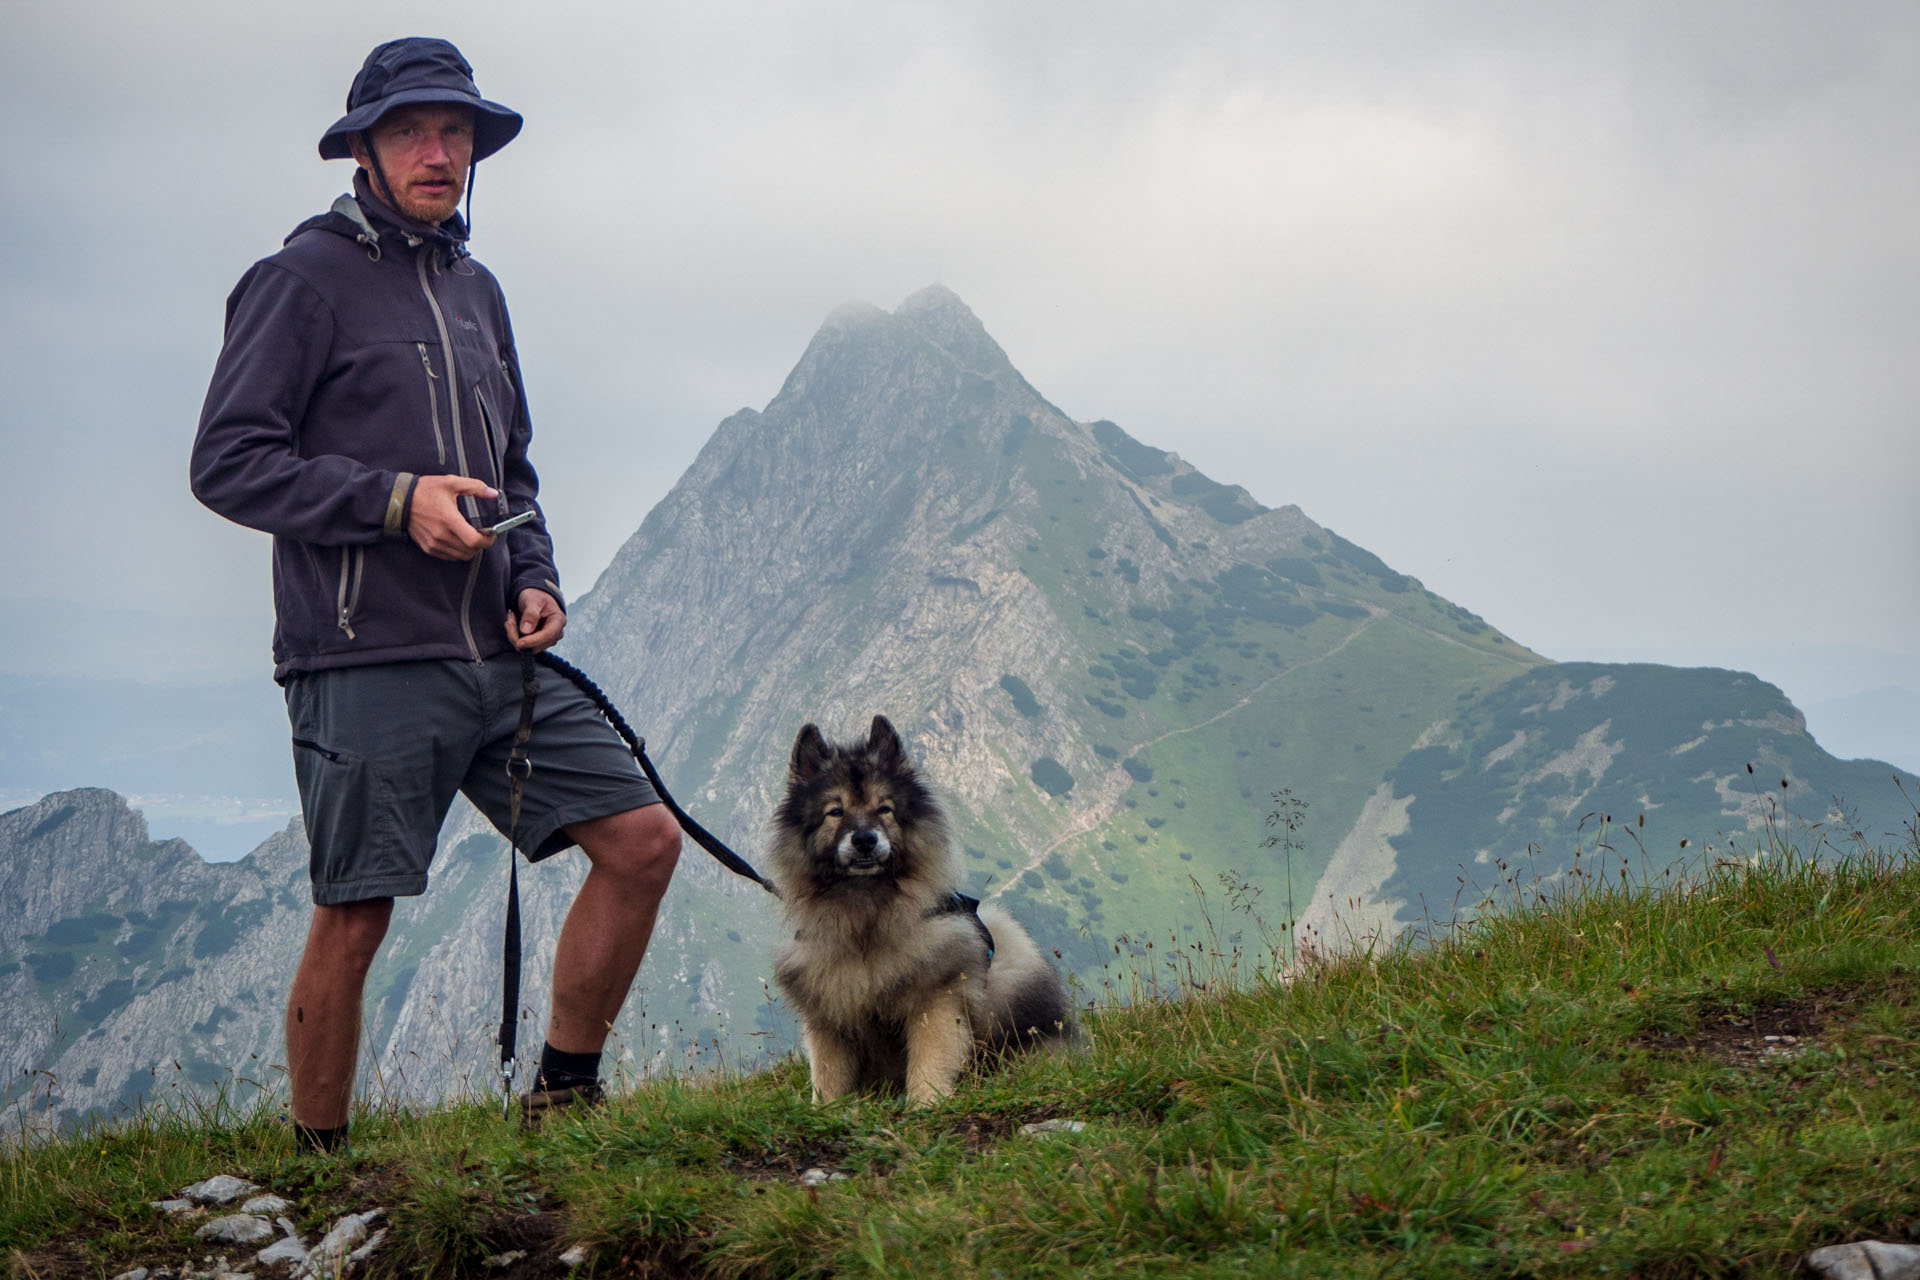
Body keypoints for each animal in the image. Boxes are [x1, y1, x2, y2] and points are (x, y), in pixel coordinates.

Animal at [768, 717, 1075, 1105]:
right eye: (835, 812)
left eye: (884, 808)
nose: (865, 839)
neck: (866, 918)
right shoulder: (828, 1016)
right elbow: (828, 1076)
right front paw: (826, 1109)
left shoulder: (936, 1000)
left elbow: (929, 1061)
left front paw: (925, 1104)